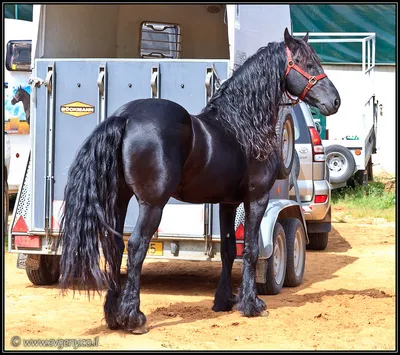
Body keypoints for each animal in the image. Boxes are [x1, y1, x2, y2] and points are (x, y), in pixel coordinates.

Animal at [58, 29, 340, 336]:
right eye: (307, 63)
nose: (335, 101)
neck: (242, 125)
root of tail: (126, 117)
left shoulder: (228, 203)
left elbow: (229, 250)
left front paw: (224, 301)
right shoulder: (256, 200)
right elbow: (251, 250)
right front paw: (251, 305)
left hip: (120, 200)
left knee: (114, 245)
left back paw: (113, 316)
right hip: (152, 204)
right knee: (136, 246)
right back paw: (134, 318)